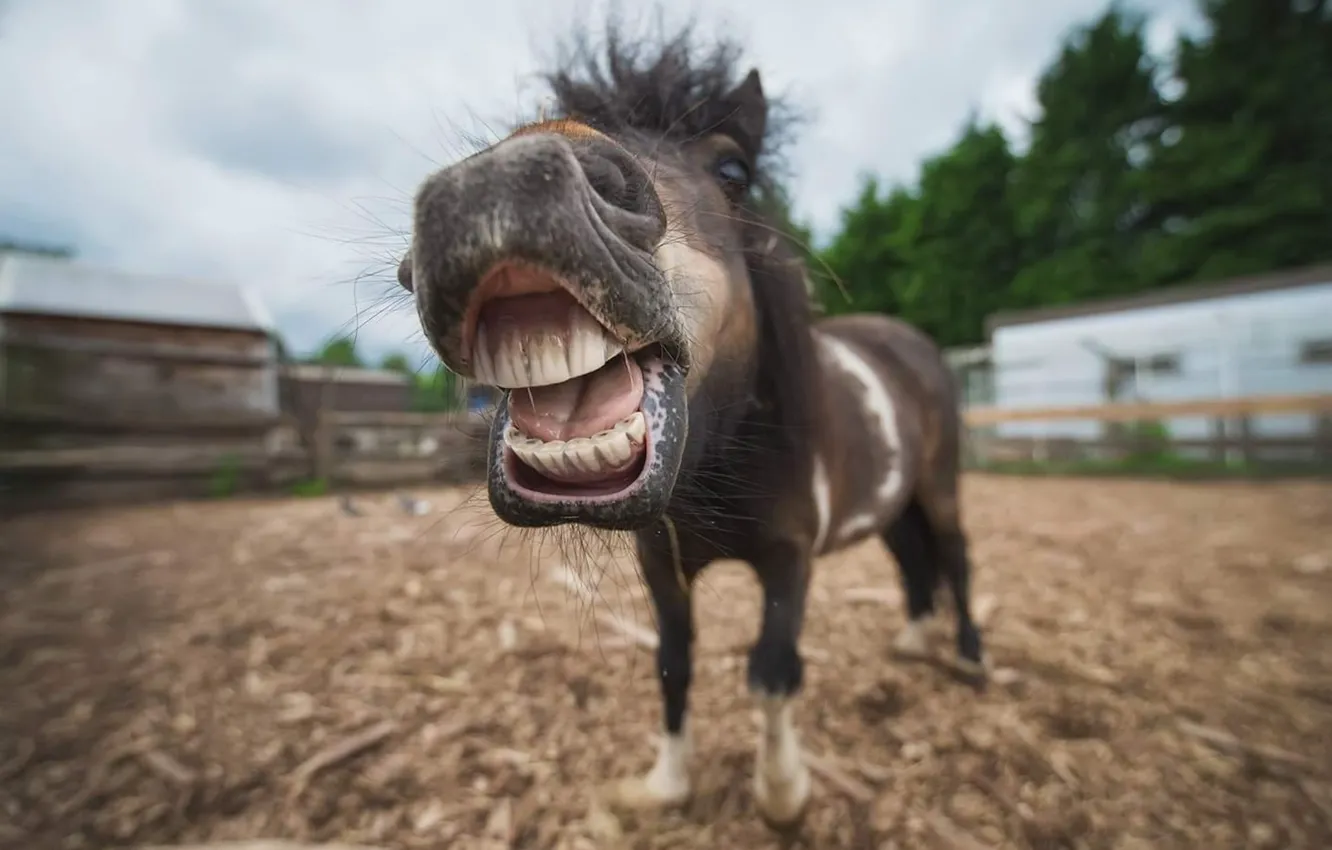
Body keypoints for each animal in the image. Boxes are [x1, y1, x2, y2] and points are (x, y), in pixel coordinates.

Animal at [396, 25, 986, 828]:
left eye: (734, 167)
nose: (501, 184)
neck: (722, 461)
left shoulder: (790, 559)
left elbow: (772, 672)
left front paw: (782, 794)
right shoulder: (661, 566)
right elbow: (673, 665)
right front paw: (666, 785)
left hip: (940, 485)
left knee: (953, 556)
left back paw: (970, 658)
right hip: (893, 504)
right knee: (914, 561)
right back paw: (915, 642)